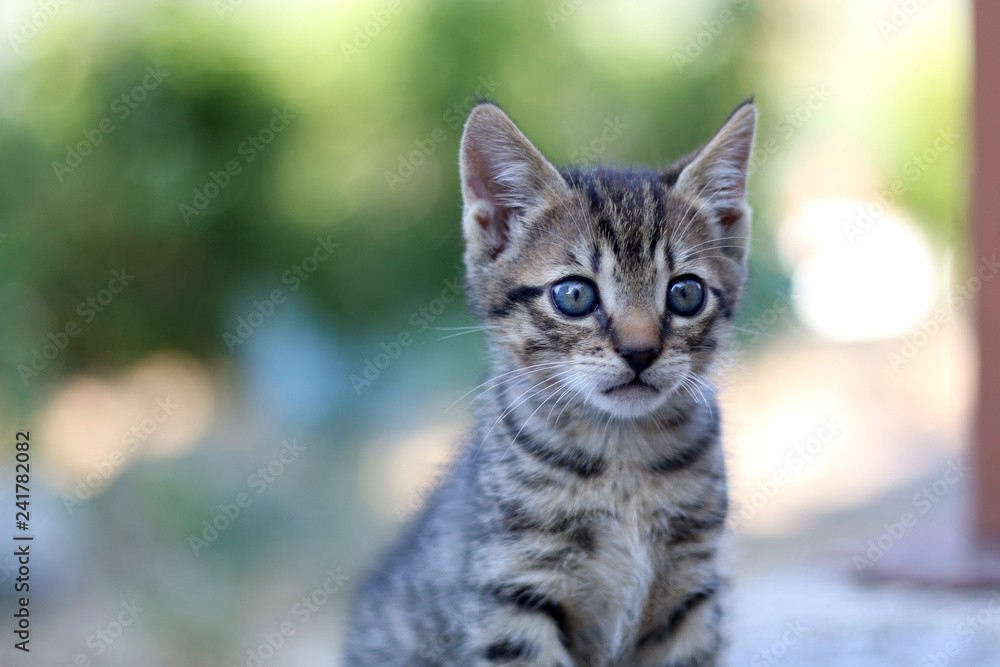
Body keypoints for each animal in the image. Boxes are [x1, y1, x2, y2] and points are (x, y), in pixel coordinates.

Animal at [346, 100, 756, 667]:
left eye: (686, 294)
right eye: (575, 296)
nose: (640, 351)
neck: (623, 460)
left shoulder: (691, 594)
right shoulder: (512, 590)